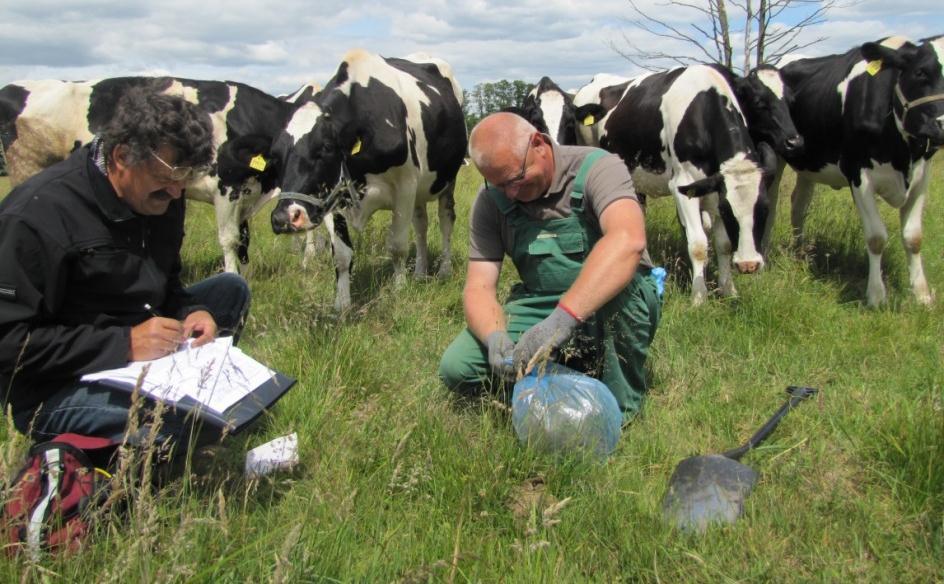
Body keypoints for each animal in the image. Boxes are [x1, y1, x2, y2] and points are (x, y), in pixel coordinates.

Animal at [0, 74, 318, 272]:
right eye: (283, 152)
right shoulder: (226, 185)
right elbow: (230, 239)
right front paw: (233, 274)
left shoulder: (245, 189)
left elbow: (243, 238)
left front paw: (246, 275)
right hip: (26, 170)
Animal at [268, 51, 466, 310]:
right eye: (276, 155)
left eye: (326, 148)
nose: (284, 218)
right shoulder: (332, 196)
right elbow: (341, 255)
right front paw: (342, 304)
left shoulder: (405, 187)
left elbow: (397, 246)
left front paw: (399, 289)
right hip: (419, 191)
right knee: (421, 225)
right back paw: (420, 273)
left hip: (447, 179)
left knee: (445, 221)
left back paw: (444, 270)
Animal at [596, 64, 776, 304]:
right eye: (729, 212)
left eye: (765, 209)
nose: (748, 265)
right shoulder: (683, 185)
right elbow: (698, 244)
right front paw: (699, 297)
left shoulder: (715, 190)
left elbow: (724, 245)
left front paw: (728, 290)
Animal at [776, 35, 944, 310]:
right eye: (920, 72)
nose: (941, 125)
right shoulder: (859, 175)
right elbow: (876, 237)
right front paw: (876, 296)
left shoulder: (921, 177)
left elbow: (914, 237)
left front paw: (922, 294)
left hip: (808, 166)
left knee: (798, 205)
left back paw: (800, 253)